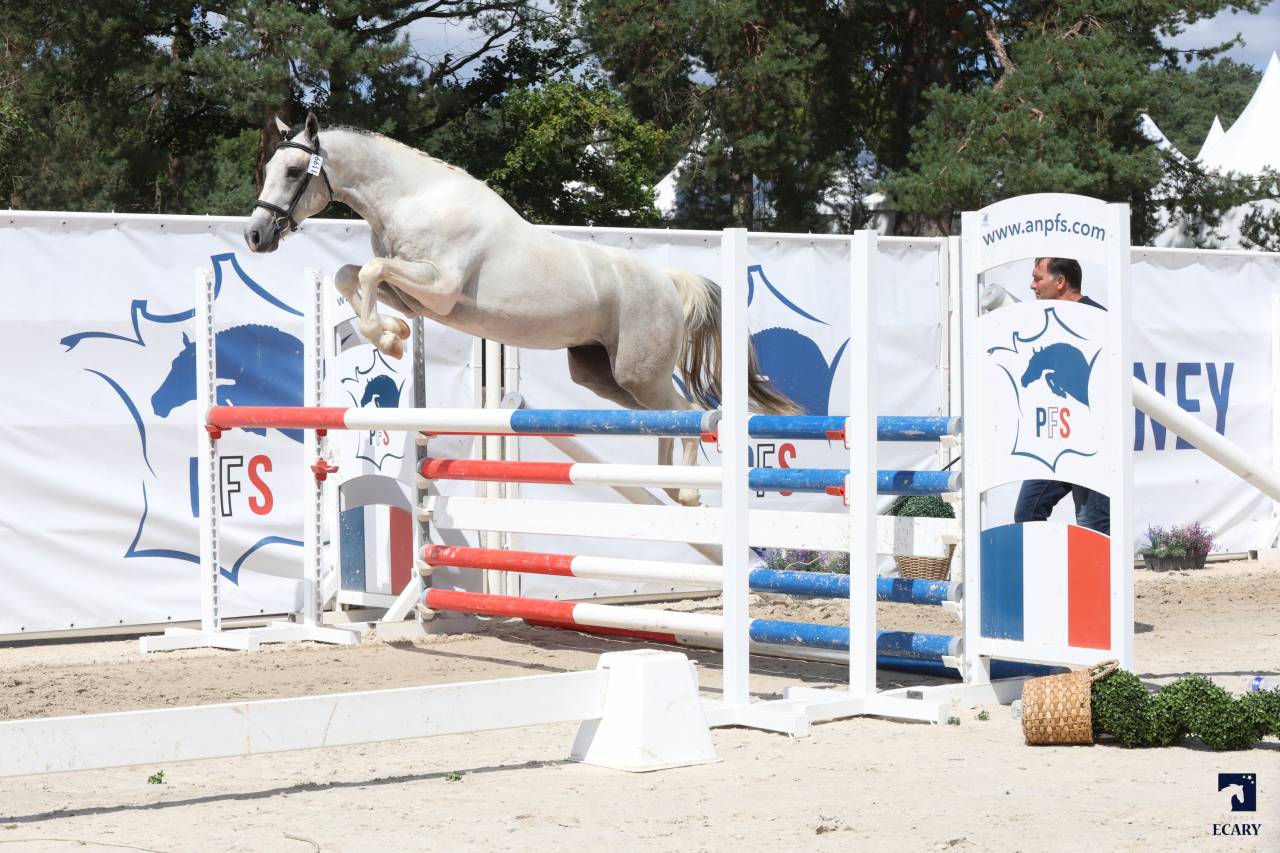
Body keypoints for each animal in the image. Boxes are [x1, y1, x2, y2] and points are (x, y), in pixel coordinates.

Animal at [243, 112, 797, 505]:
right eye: (269, 169)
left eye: (294, 171)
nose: (255, 236)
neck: (413, 199)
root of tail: (667, 279)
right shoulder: (419, 293)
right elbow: (351, 274)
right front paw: (394, 334)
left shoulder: (439, 288)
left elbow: (370, 272)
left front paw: (388, 338)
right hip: (605, 377)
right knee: (668, 416)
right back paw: (670, 485)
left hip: (640, 373)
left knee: (692, 413)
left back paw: (687, 491)